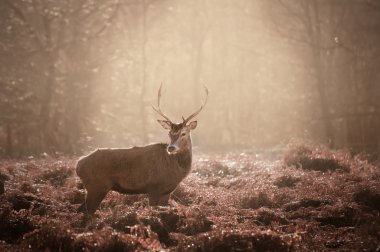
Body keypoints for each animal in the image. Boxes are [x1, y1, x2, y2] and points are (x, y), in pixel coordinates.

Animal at [76, 84, 208, 215]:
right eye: (169, 133)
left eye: (183, 133)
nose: (171, 147)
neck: (176, 171)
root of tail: (78, 165)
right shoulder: (153, 187)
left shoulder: (167, 191)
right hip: (97, 186)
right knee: (86, 211)